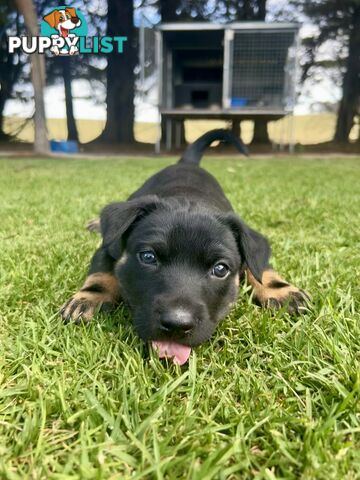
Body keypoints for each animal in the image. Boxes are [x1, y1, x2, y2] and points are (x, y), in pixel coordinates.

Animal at [60, 130, 308, 364]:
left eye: (220, 269)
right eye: (148, 257)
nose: (177, 324)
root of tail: (187, 163)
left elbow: (260, 267)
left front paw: (280, 289)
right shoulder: (108, 246)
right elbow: (100, 274)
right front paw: (87, 299)